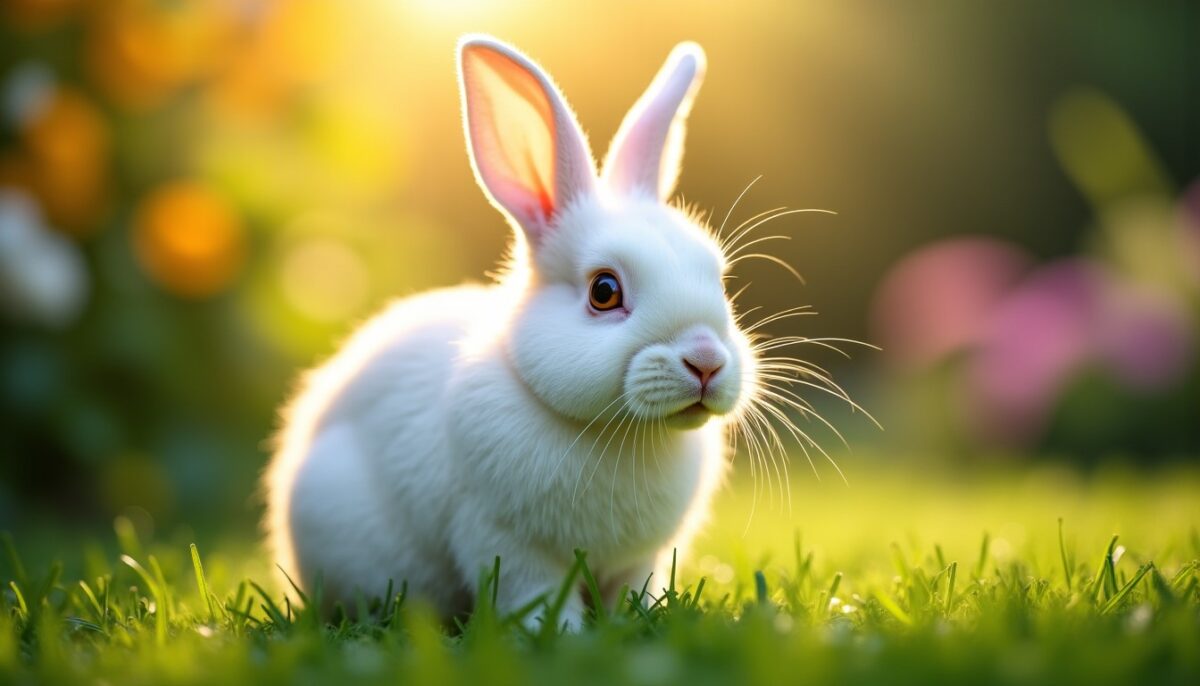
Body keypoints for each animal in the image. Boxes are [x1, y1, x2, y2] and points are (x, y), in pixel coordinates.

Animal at [265, 34, 763, 630]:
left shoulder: (642, 559)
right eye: (604, 291)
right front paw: (562, 636)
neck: (619, 434)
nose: (706, 361)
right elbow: (537, 598)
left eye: (718, 277)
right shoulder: (507, 543)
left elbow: (633, 594)